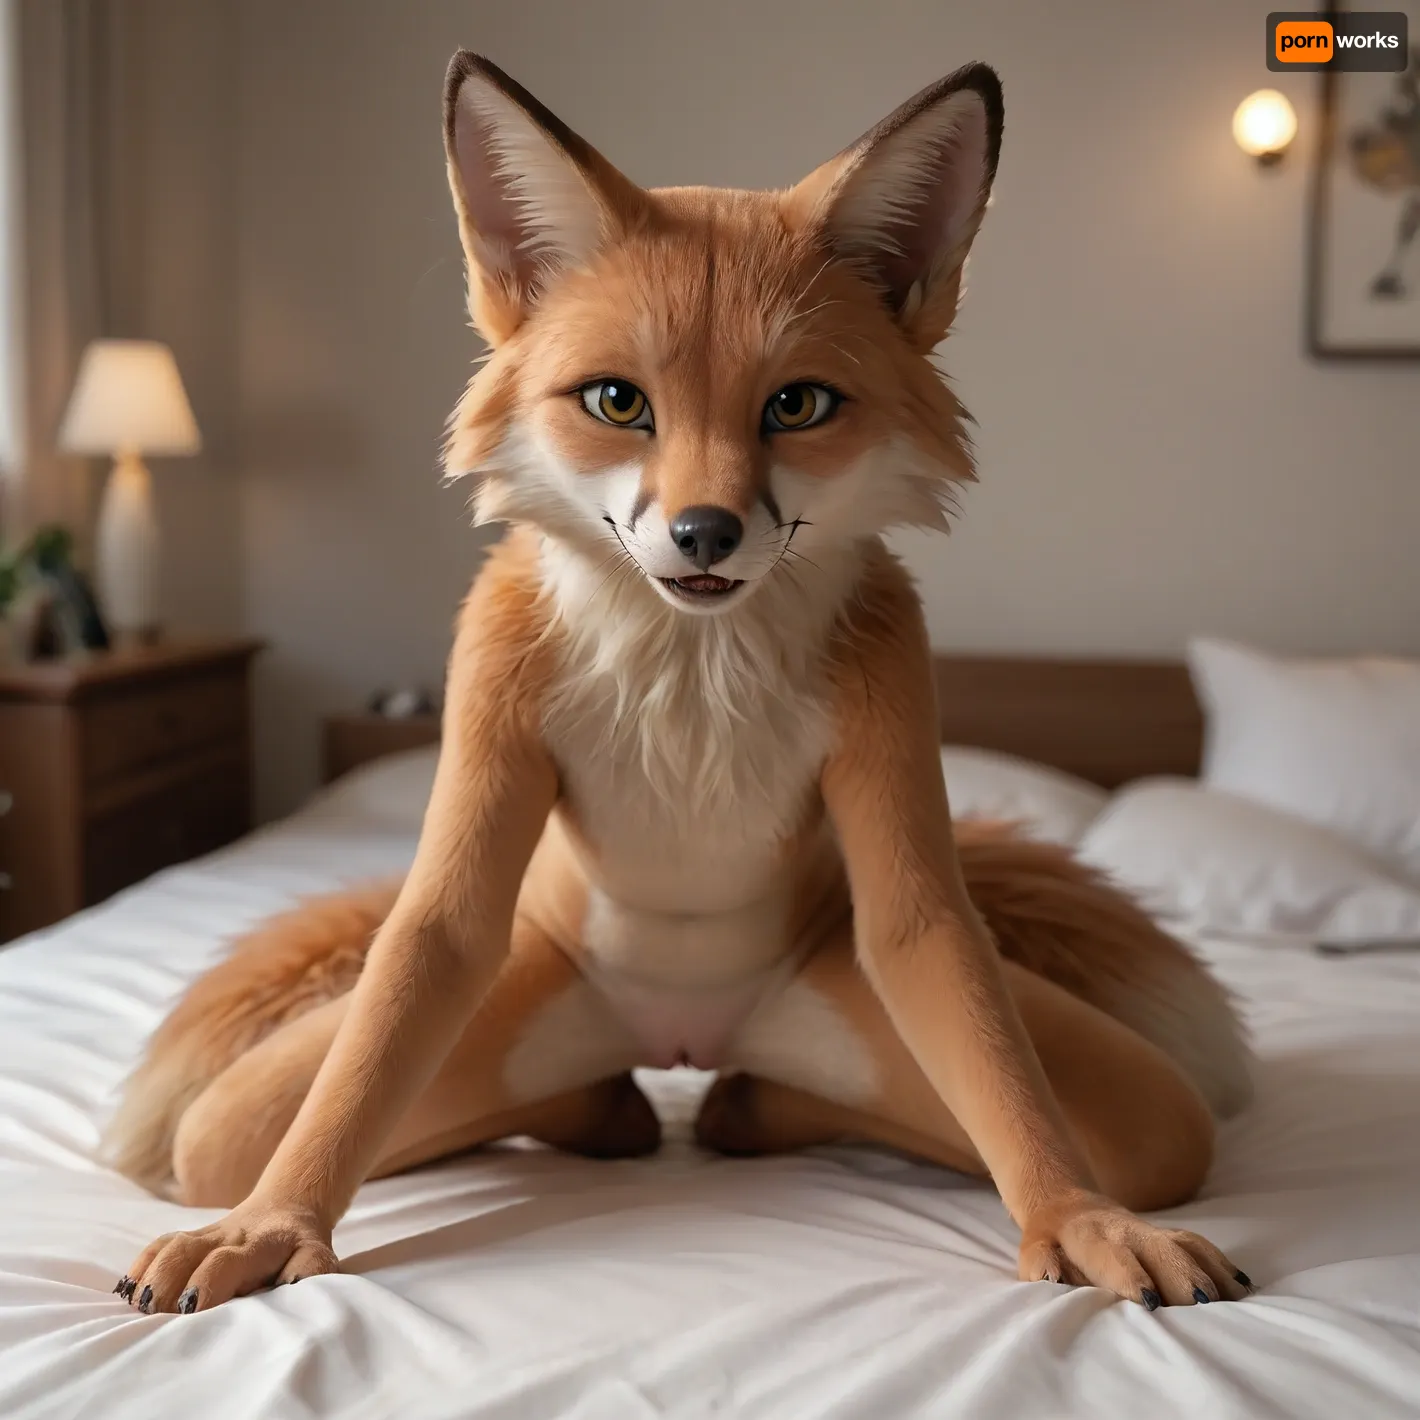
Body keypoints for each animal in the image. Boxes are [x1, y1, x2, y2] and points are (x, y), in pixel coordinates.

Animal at [103, 53, 1254, 1317]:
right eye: (619, 402)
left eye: (795, 403)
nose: (704, 532)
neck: (693, 677)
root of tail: (683, 1037)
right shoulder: (484, 708)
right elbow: (418, 953)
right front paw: (271, 1225)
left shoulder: (899, 732)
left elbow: (957, 981)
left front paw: (1077, 1219)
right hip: (503, 1004)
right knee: (260, 1128)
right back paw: (611, 1110)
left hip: (867, 1013)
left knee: (1100, 1125)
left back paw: (737, 1105)